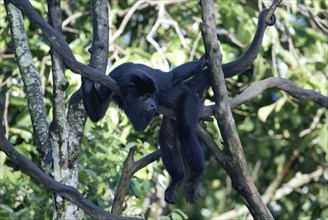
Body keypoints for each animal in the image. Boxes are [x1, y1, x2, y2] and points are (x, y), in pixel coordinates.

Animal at [81, 9, 274, 205]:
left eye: (153, 96)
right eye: (145, 97)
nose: (153, 104)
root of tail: (188, 88)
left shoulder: (156, 81)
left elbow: (172, 76)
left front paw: (204, 59)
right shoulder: (113, 79)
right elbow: (97, 115)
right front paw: (86, 83)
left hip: (188, 100)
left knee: (185, 131)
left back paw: (195, 175)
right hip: (172, 115)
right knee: (166, 138)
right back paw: (177, 179)